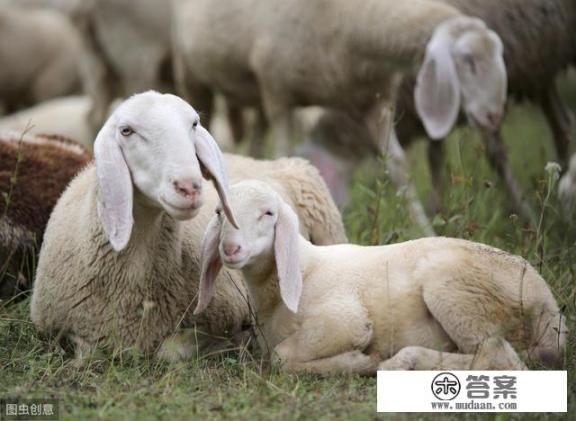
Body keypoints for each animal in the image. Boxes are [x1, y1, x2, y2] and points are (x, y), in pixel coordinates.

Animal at [30, 90, 346, 360]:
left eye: (194, 124)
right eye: (126, 130)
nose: (189, 186)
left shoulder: (222, 317)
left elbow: (170, 352)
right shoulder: (62, 329)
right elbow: (88, 351)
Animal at [173, 0, 506, 236]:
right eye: (468, 60)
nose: (493, 117)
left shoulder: (376, 105)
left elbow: (400, 170)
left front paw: (426, 231)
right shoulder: (278, 93)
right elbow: (281, 155)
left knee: (256, 139)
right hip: (193, 73)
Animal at [195, 180, 568, 374]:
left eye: (269, 213)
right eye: (219, 213)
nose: (230, 248)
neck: (301, 271)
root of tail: (549, 306)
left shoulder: (345, 320)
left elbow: (281, 357)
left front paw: (356, 361)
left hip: (455, 289)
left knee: (500, 357)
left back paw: (403, 361)